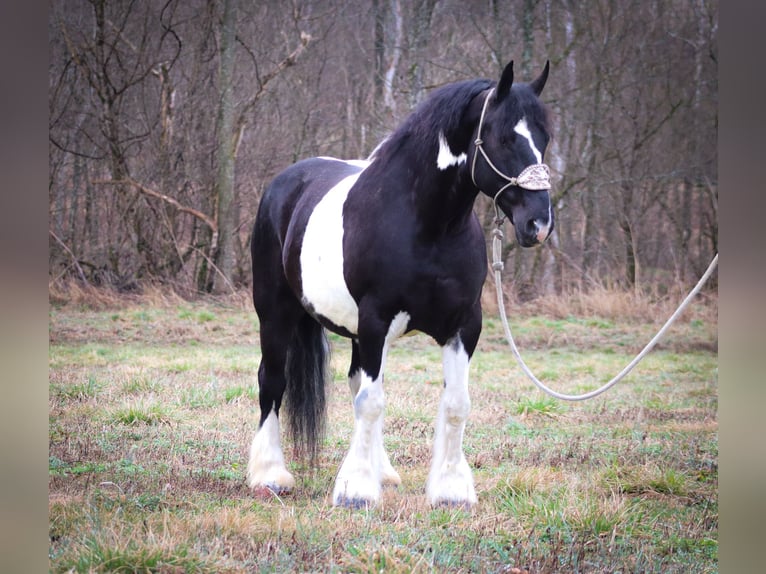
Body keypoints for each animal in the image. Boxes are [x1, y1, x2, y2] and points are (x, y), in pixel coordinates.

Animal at [249, 59, 556, 508]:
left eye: (544, 138)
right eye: (503, 138)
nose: (539, 223)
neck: (427, 227)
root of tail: (285, 182)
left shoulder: (464, 325)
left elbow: (455, 403)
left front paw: (450, 489)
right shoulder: (376, 319)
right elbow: (372, 403)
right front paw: (357, 491)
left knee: (355, 380)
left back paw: (383, 471)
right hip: (275, 313)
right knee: (273, 381)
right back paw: (269, 475)